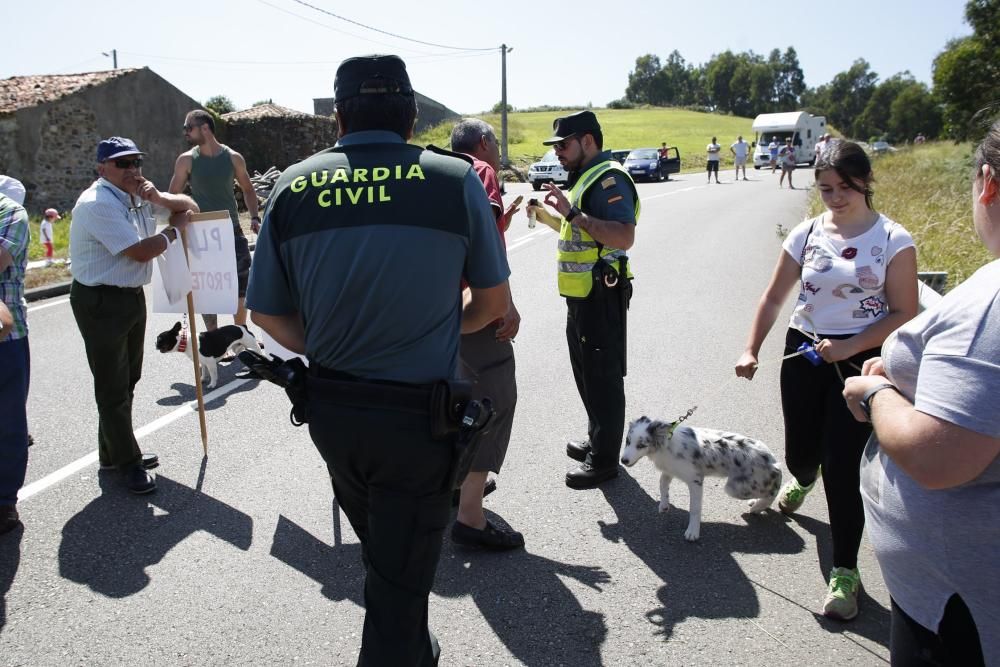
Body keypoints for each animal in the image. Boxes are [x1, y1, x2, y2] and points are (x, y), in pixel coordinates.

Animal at [620, 418, 784, 544]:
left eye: (641, 445)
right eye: (627, 441)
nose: (623, 460)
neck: (666, 446)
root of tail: (773, 461)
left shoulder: (695, 480)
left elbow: (695, 508)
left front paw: (692, 532)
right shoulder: (669, 470)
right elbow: (662, 484)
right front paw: (664, 505)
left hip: (734, 487)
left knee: (773, 492)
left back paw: (757, 507)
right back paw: (756, 503)